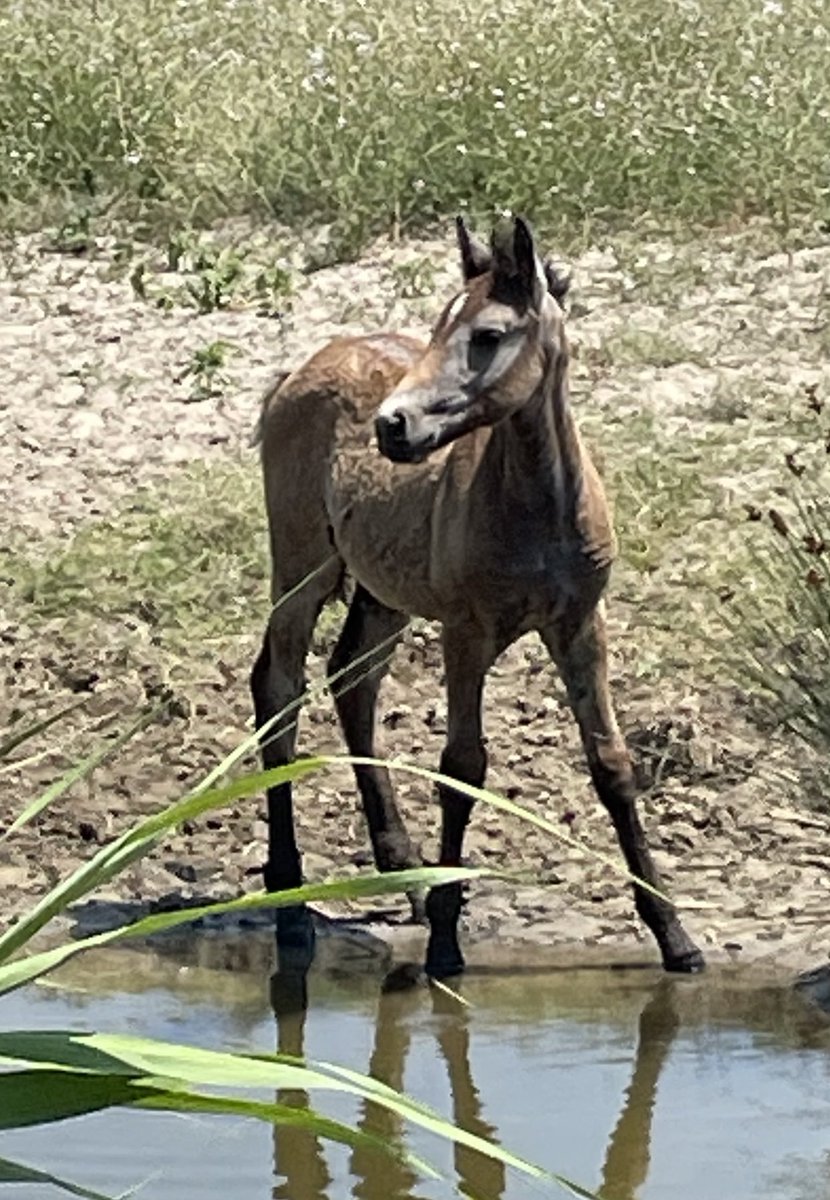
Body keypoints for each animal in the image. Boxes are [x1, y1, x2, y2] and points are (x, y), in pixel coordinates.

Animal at [249, 216, 705, 979]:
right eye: (438, 326)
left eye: (487, 334)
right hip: (303, 562)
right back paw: (290, 899)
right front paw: (444, 944)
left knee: (351, 682)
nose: (392, 425)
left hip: (384, 590)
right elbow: (463, 767)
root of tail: (299, 371)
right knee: (280, 687)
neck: (540, 509)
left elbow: (612, 766)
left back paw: (400, 870)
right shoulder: (467, 632)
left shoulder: (581, 624)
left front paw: (676, 937)